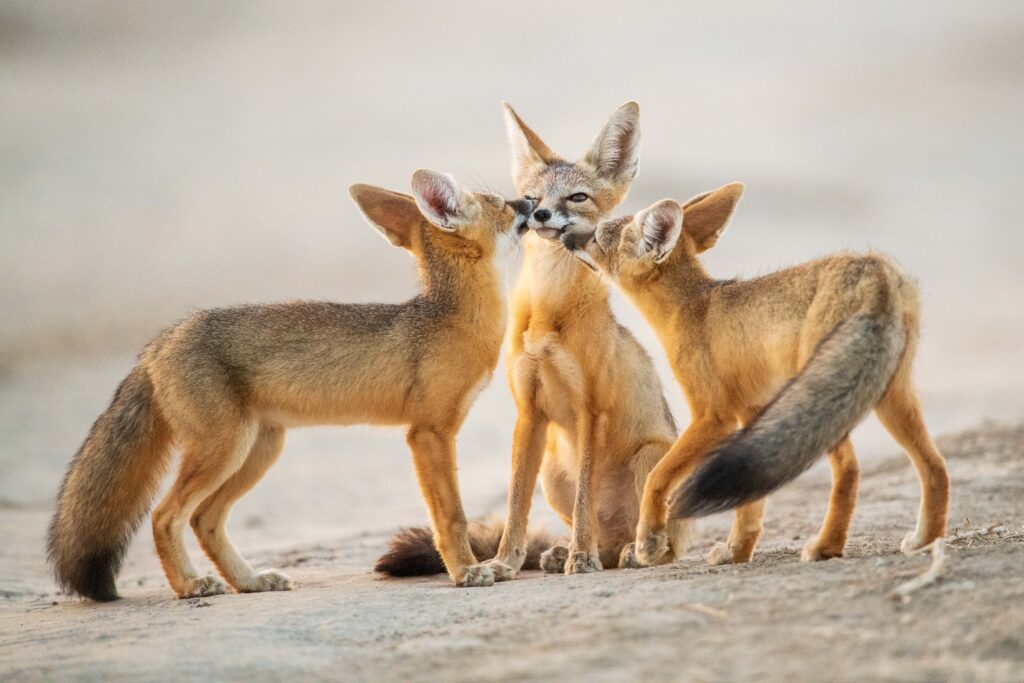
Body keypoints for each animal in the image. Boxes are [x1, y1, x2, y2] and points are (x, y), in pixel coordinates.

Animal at [47, 169, 534, 600]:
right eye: (503, 205)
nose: (531, 203)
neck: (451, 319)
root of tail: (161, 340)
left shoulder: (433, 431)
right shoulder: (427, 433)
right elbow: (451, 517)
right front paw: (466, 570)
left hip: (258, 450)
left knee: (204, 519)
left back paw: (248, 581)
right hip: (225, 449)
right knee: (166, 516)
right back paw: (189, 586)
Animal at [552, 184, 950, 567]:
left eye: (597, 236)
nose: (564, 234)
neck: (689, 307)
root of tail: (874, 269)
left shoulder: (713, 417)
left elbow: (657, 477)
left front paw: (649, 541)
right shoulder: (751, 412)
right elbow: (750, 501)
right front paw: (737, 552)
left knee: (851, 470)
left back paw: (827, 547)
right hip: (887, 397)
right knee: (935, 466)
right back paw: (925, 540)